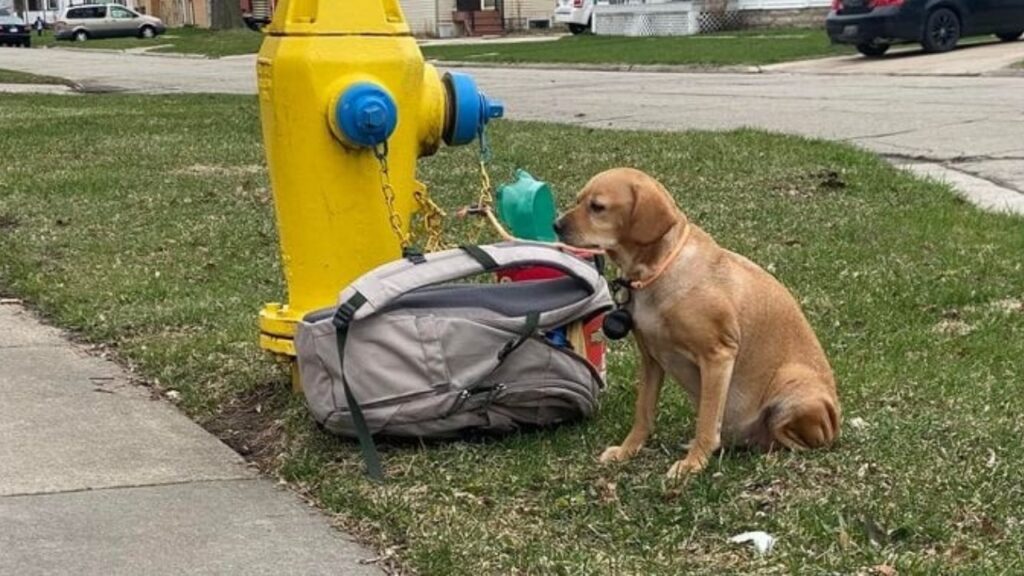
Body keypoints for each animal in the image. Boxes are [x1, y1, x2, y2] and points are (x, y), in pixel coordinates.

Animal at [557, 168, 835, 477]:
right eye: (579, 200)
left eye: (597, 207)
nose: (556, 225)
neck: (657, 271)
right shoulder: (651, 359)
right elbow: (643, 413)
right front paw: (628, 450)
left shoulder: (718, 356)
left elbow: (706, 422)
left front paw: (693, 464)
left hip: (793, 387)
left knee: (799, 442)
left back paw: (770, 455)